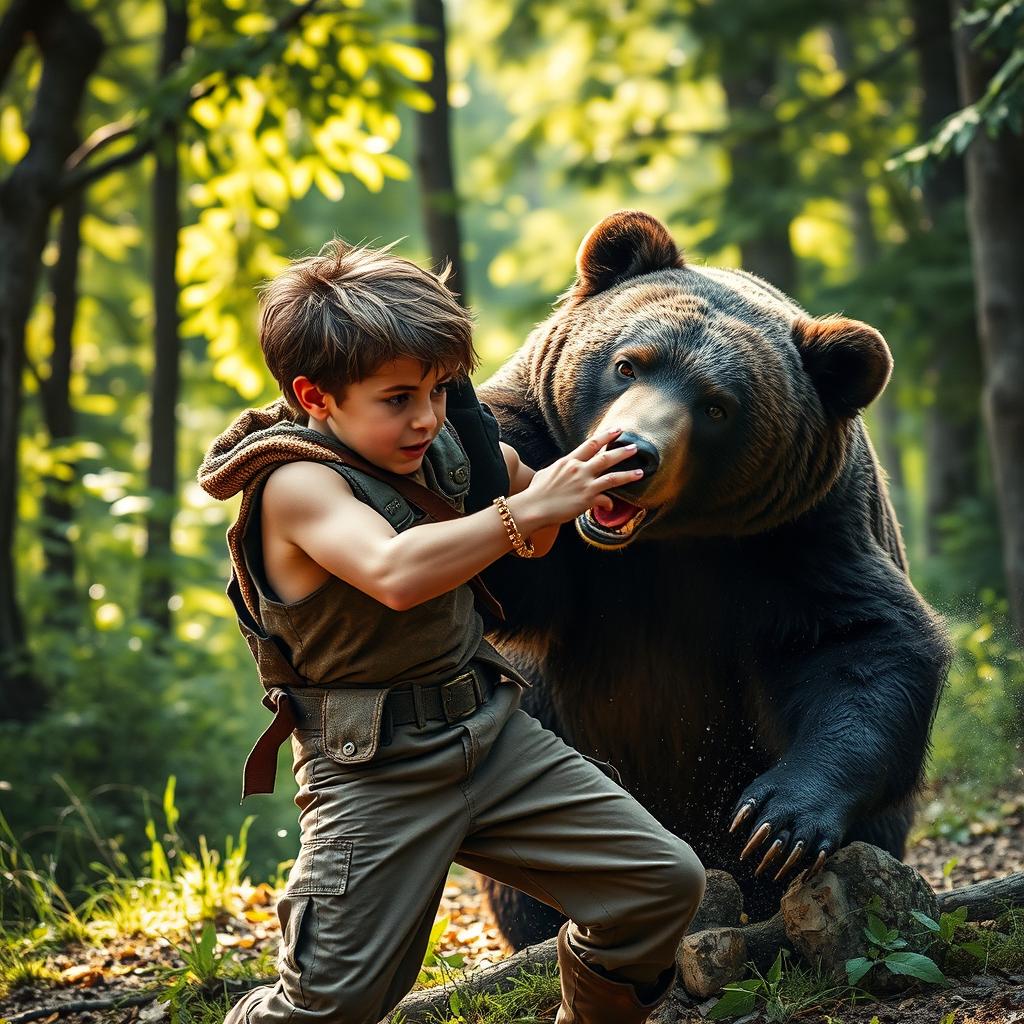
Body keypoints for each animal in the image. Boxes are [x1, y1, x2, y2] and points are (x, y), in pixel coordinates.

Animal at [473, 209, 950, 950]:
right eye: (627, 364)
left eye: (717, 406)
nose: (631, 451)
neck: (667, 542)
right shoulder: (539, 454)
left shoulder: (802, 534)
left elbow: (864, 641)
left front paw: (775, 822)